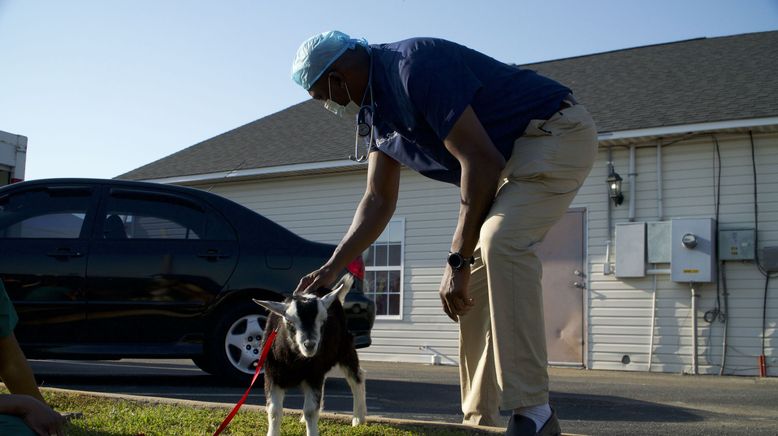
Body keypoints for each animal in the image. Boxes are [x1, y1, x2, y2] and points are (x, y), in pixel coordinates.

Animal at [252, 276, 366, 436]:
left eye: (323, 320)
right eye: (289, 321)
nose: (310, 345)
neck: (294, 362)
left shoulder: (313, 375)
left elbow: (311, 411)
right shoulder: (272, 376)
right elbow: (274, 411)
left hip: (345, 346)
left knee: (357, 377)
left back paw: (358, 418)